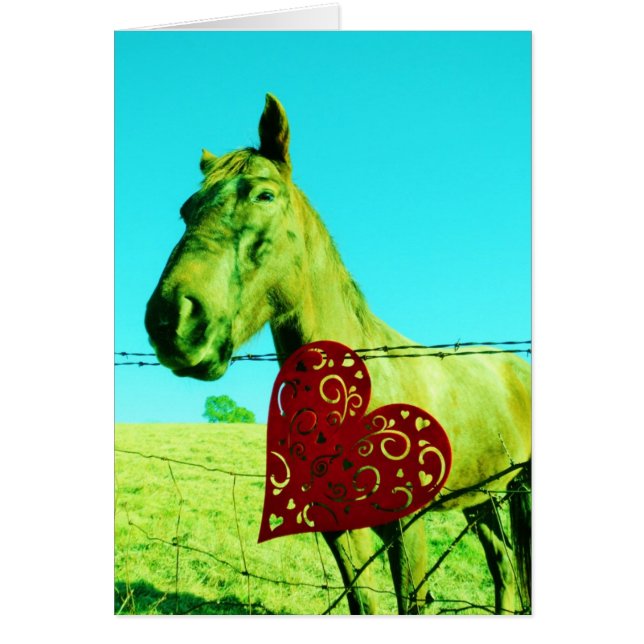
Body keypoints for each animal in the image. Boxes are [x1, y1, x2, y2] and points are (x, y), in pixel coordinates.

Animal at [144, 94, 532, 615]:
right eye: (187, 210)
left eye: (264, 196)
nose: (172, 320)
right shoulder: (339, 530)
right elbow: (362, 601)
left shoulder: (407, 529)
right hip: (483, 497)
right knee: (504, 570)